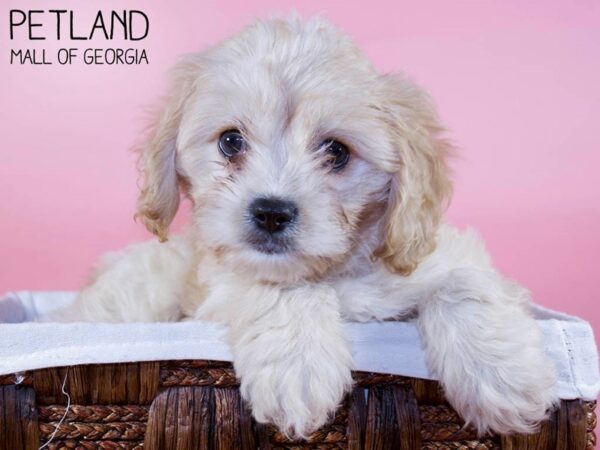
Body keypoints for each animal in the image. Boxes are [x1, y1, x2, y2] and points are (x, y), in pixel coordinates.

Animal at [57, 17, 556, 440]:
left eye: (336, 151)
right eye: (231, 142)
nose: (271, 212)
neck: (334, 272)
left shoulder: (434, 254)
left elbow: (465, 282)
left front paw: (504, 378)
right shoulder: (222, 283)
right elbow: (282, 289)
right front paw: (295, 369)